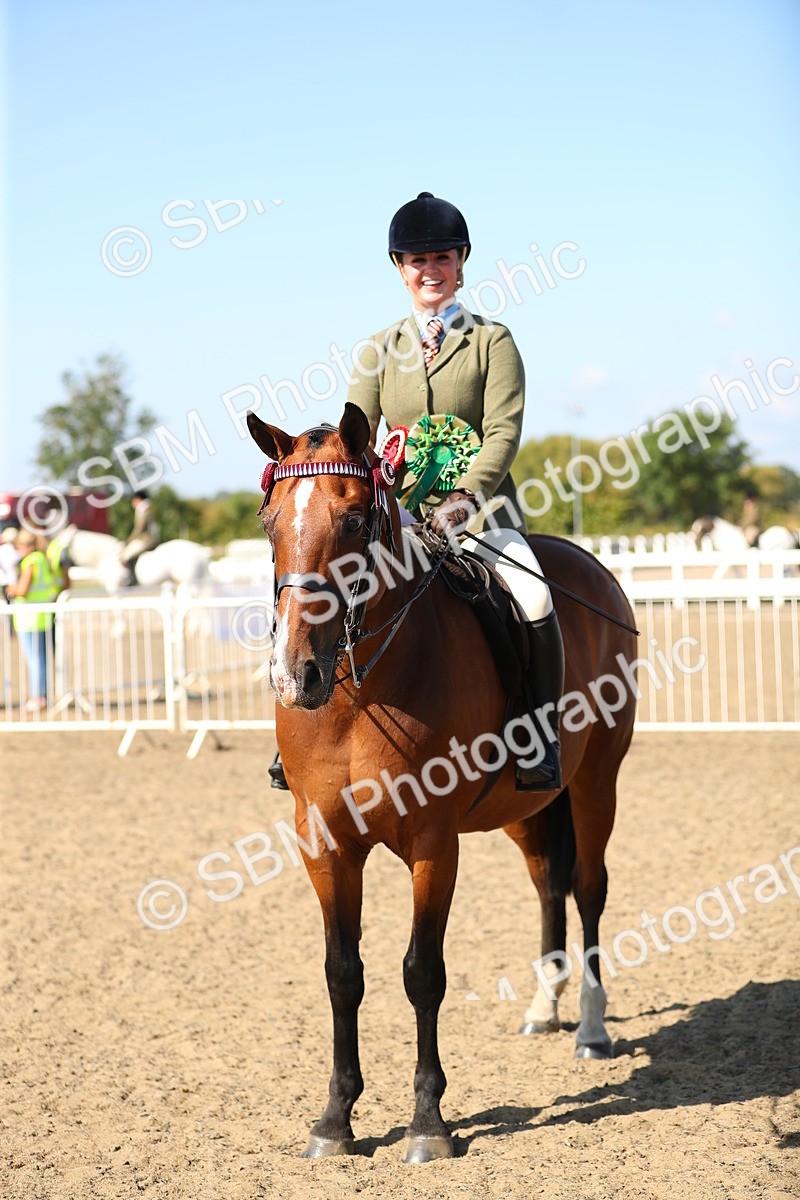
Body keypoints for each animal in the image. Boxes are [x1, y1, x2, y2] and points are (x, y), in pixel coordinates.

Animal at [247, 403, 638, 1163]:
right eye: (270, 522)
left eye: (354, 520)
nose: (295, 675)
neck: (357, 692)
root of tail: (589, 566)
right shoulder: (324, 843)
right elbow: (343, 973)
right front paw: (335, 1120)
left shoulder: (433, 842)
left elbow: (422, 972)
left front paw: (428, 1122)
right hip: (526, 807)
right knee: (549, 882)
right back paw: (543, 1008)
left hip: (596, 782)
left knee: (588, 888)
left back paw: (590, 1027)